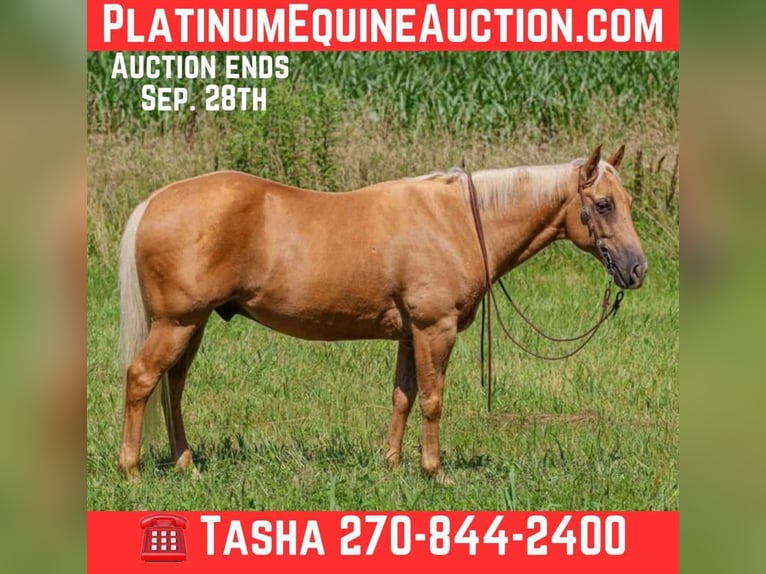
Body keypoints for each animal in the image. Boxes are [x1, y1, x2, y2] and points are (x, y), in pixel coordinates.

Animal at [117, 144, 646, 483]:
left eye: (628, 201)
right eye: (603, 203)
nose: (636, 268)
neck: (455, 221)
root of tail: (154, 201)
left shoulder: (411, 335)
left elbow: (403, 397)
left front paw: (391, 464)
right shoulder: (435, 329)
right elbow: (432, 400)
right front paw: (434, 472)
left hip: (194, 324)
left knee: (173, 386)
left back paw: (186, 464)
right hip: (177, 324)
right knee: (143, 379)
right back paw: (133, 470)